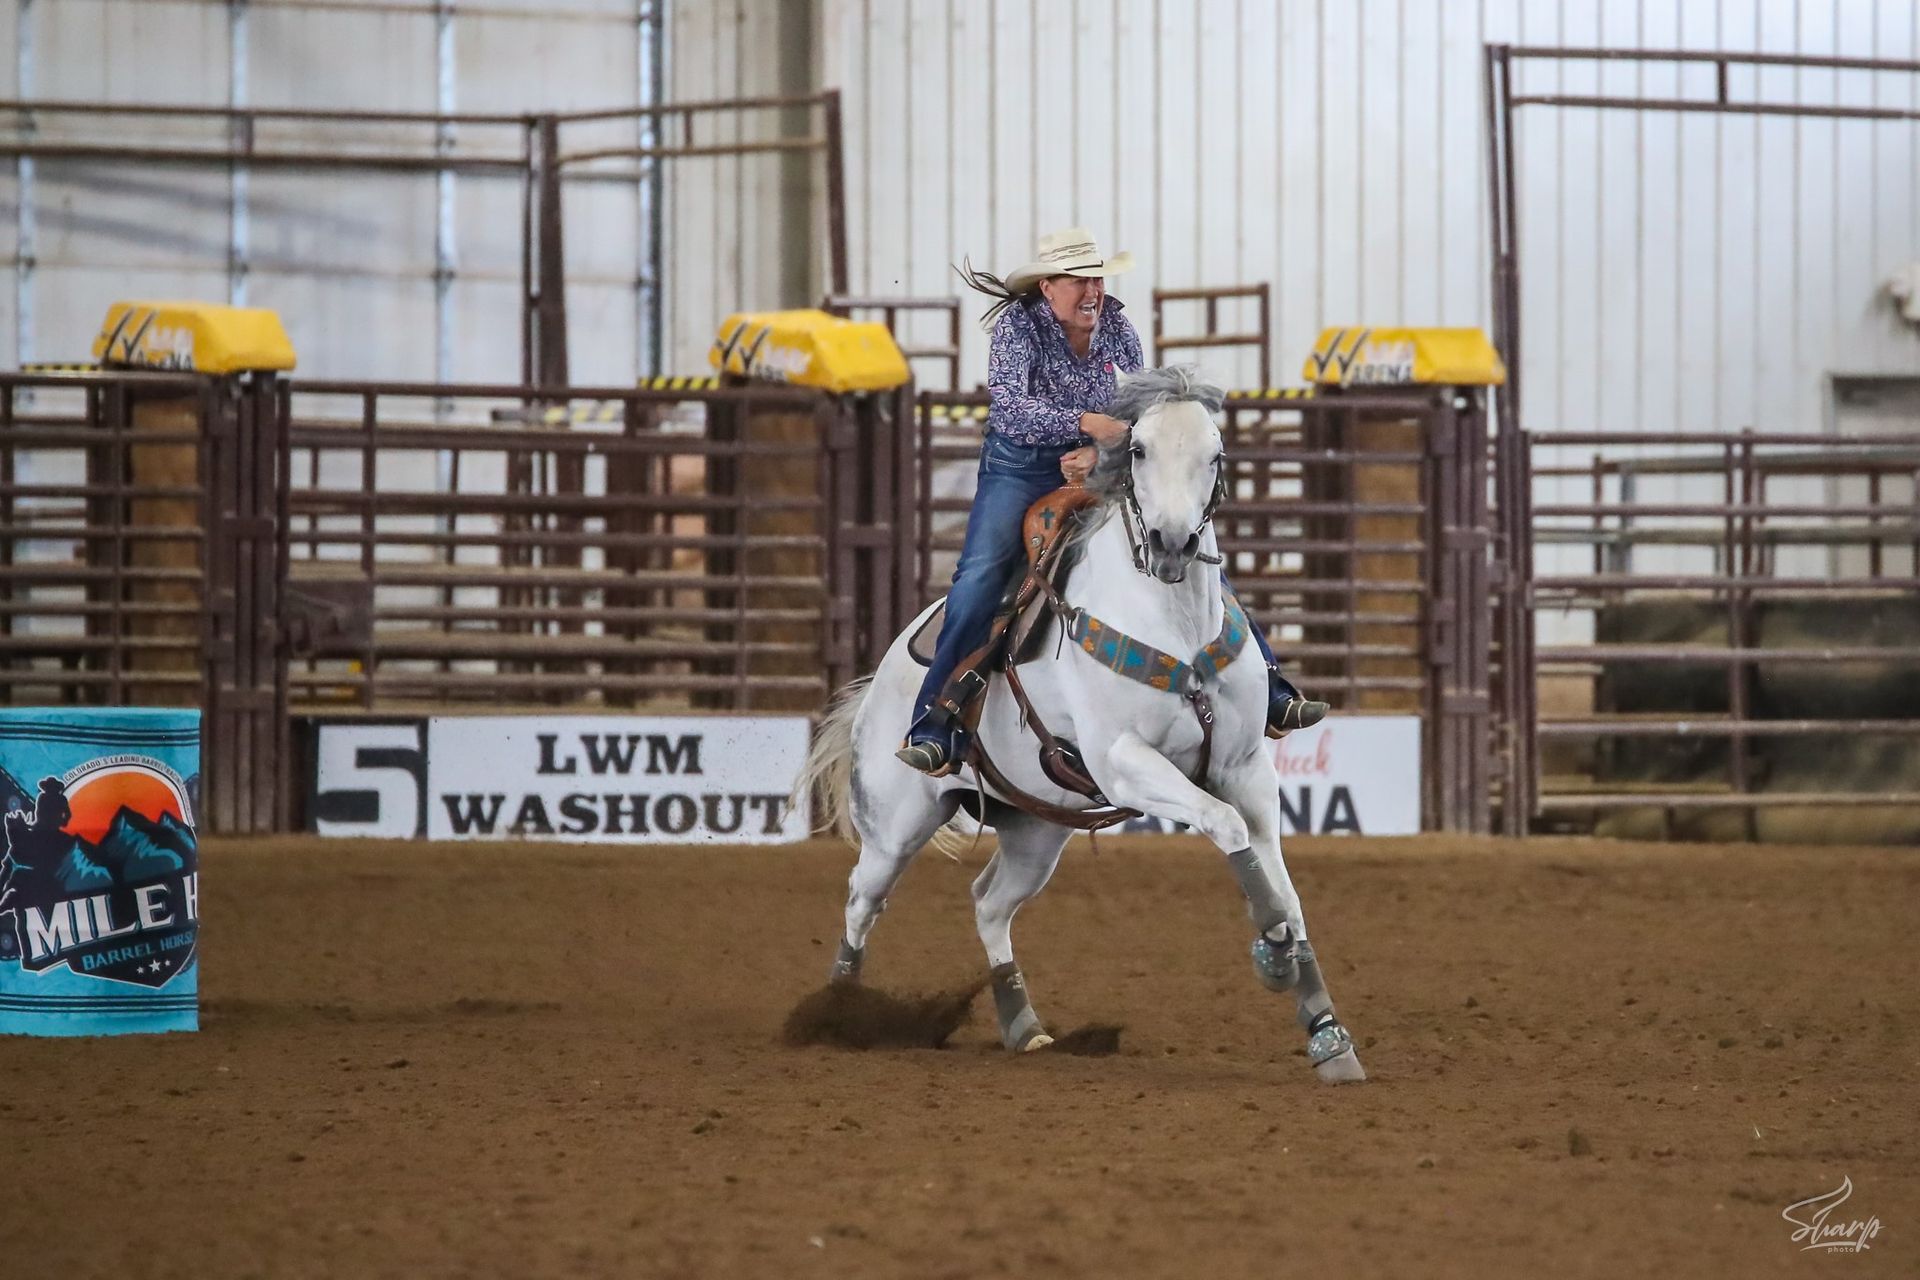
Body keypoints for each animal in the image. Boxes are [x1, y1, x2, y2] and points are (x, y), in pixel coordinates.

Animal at [794, 364, 1367, 1090]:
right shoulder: (1126, 762)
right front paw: (1273, 953)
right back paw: (838, 1012)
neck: (1174, 623)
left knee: (988, 902)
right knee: (862, 901)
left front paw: (1327, 1034)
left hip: (1036, 831)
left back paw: (1024, 1026)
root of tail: (882, 678)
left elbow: (1283, 886)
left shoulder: (1245, 769)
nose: (1172, 544)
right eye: (1140, 449)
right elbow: (1226, 827)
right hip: (894, 826)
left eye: (1215, 454)